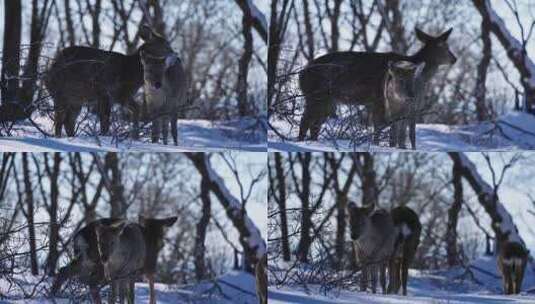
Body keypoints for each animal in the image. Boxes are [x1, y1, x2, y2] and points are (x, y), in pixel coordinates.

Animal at [298, 27, 456, 147]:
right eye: (444, 46)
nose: (454, 59)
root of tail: (301, 74)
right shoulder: (379, 99)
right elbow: (380, 126)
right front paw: (377, 145)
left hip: (327, 101)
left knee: (315, 124)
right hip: (316, 95)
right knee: (306, 121)